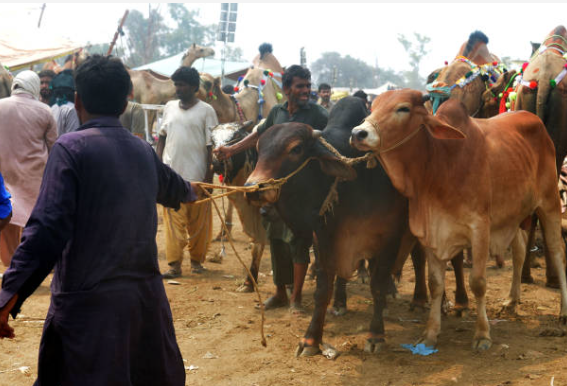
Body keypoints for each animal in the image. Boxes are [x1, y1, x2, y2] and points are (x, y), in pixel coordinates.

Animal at [350, 90, 567, 350]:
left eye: (403, 108)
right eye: (372, 107)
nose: (358, 133)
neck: (439, 162)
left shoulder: (480, 228)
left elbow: (478, 282)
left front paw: (482, 335)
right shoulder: (430, 232)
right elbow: (435, 283)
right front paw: (430, 333)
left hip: (550, 202)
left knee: (557, 251)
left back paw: (564, 312)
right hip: (512, 216)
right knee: (520, 251)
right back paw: (512, 300)